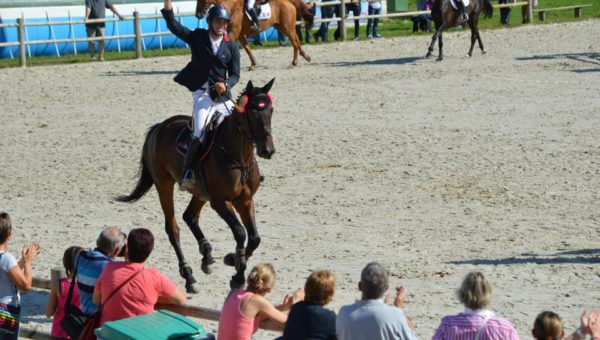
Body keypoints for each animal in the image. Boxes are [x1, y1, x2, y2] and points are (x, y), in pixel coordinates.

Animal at [116, 79, 276, 292]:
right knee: (173, 228)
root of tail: (159, 127)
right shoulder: (220, 201)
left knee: (190, 216)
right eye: (252, 112)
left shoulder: (245, 200)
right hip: (164, 185)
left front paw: (232, 259)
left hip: (200, 192)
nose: (268, 150)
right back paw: (189, 276)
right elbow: (240, 232)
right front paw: (238, 276)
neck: (239, 156)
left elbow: (255, 238)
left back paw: (206, 255)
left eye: (271, 110)